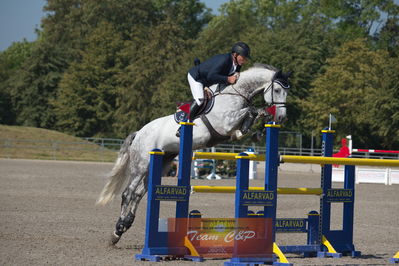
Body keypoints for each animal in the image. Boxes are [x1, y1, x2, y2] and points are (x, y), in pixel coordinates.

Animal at [97, 63, 290, 244]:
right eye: (277, 90)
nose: (281, 117)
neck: (236, 94)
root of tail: (139, 133)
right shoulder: (226, 123)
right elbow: (251, 111)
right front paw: (247, 129)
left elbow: (257, 113)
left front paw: (258, 131)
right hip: (141, 164)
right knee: (128, 193)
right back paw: (118, 230)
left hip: (161, 162)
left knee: (138, 193)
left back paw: (126, 223)